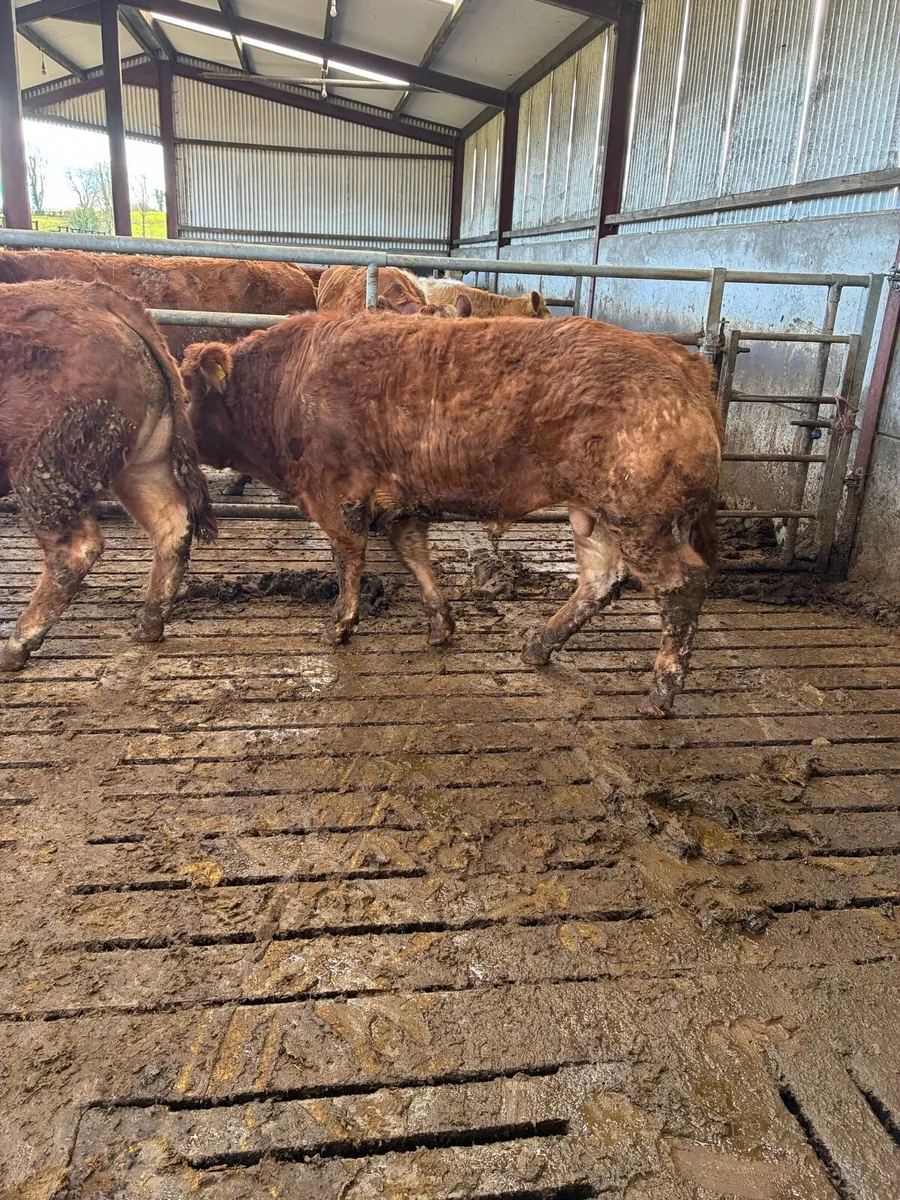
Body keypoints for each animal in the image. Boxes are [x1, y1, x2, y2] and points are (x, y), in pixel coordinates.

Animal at [0, 280, 217, 671]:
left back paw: (16, 647)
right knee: (173, 525)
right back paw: (149, 624)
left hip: (44, 472)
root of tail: (99, 299)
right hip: (143, 465)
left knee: (74, 551)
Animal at [181, 313, 721, 716]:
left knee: (682, 586)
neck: (287, 383)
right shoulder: (400, 503)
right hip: (594, 514)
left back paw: (661, 691)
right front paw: (441, 625)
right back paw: (538, 646)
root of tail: (679, 358)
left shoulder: (337, 496)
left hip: (640, 519)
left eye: (184, 394)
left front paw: (338, 626)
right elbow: (415, 557)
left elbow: (348, 561)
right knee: (599, 581)